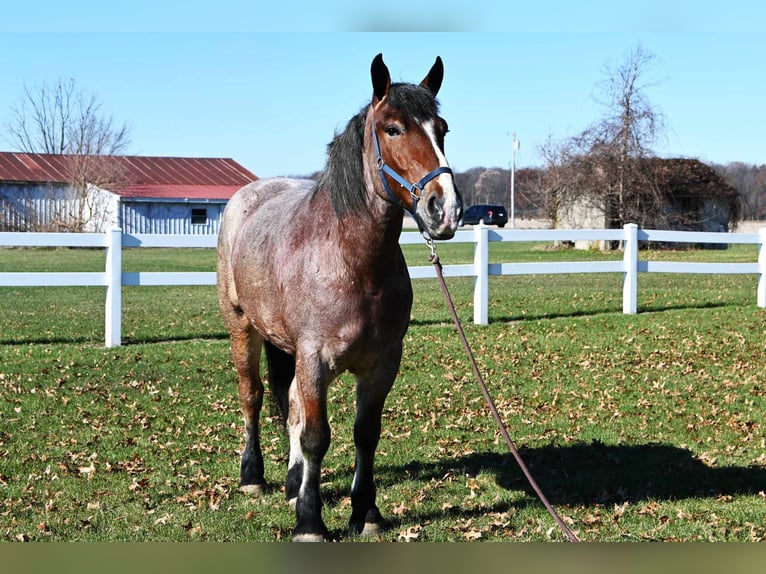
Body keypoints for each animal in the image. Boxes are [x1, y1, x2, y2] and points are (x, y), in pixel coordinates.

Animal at [216, 54, 462, 544]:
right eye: (392, 129)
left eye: (442, 129)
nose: (444, 210)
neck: (352, 262)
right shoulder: (315, 359)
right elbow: (316, 436)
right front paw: (310, 522)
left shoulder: (382, 364)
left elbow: (365, 433)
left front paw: (365, 512)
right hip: (242, 328)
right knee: (253, 395)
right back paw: (253, 476)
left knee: (290, 401)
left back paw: (292, 482)